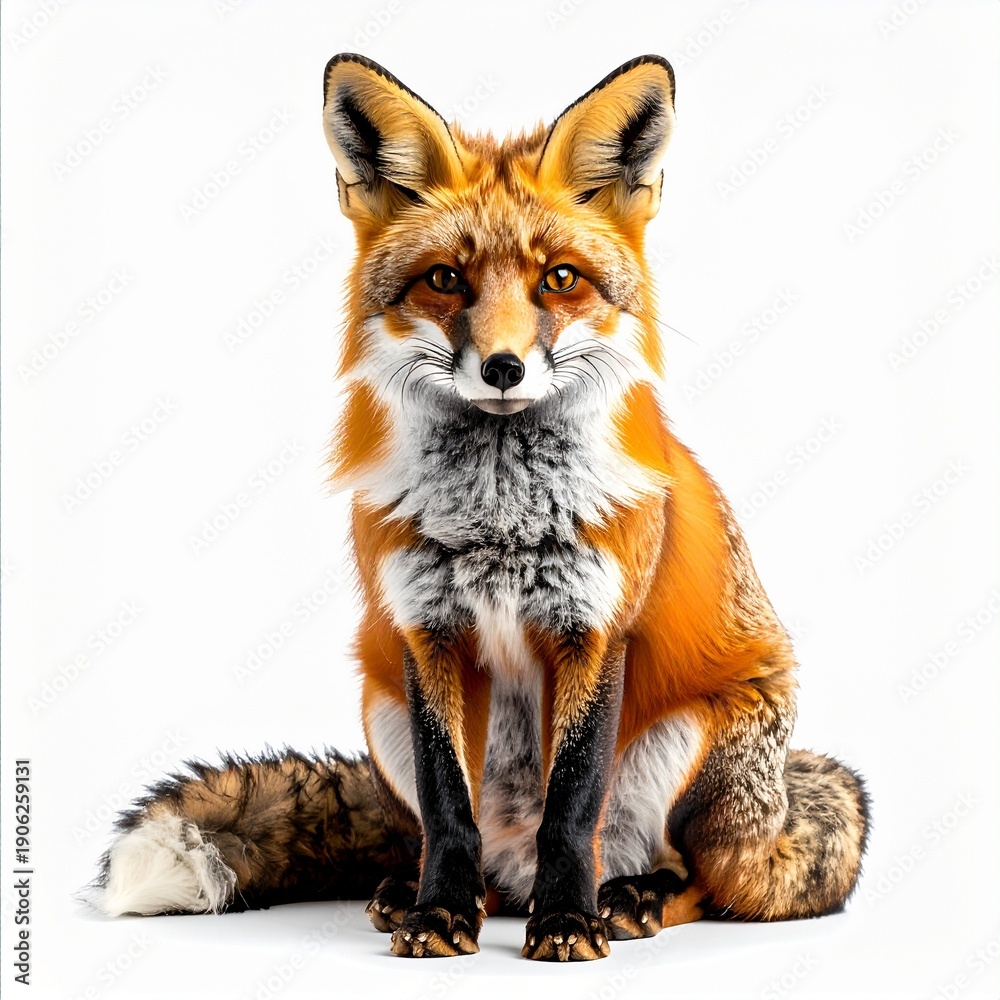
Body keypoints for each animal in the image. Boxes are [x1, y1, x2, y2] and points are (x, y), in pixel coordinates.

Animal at [89, 53, 870, 962]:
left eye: (559, 279)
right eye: (445, 279)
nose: (502, 367)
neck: (500, 522)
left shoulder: (593, 628)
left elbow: (572, 807)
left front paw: (568, 924)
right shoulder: (426, 630)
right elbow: (447, 806)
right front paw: (438, 915)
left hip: (698, 742)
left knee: (703, 882)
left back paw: (628, 898)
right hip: (381, 707)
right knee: (459, 848)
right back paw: (426, 894)